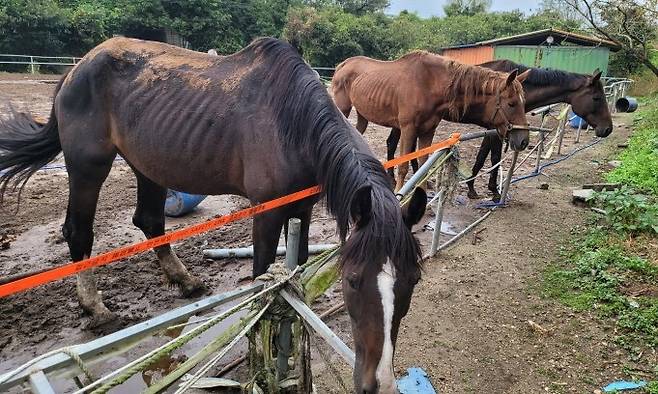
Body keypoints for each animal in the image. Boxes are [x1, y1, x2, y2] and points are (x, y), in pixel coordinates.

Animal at [0, 36, 426, 390]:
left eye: (412, 280)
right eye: (352, 280)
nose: (379, 383)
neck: (293, 125)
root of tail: (78, 67)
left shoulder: (301, 210)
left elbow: (298, 266)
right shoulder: (267, 214)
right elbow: (262, 278)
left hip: (147, 164)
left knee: (149, 221)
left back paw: (185, 281)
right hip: (88, 166)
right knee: (79, 232)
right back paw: (97, 308)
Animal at [334, 51, 528, 190]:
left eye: (523, 102)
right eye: (511, 104)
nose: (524, 141)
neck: (429, 85)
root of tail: (343, 65)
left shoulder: (428, 130)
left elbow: (423, 164)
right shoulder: (408, 129)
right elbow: (403, 165)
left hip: (362, 115)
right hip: (343, 109)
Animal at [464, 60, 612, 202]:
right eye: (596, 98)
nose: (608, 129)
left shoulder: (495, 129)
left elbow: (482, 156)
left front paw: (471, 187)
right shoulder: (496, 129)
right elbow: (494, 158)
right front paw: (493, 191)